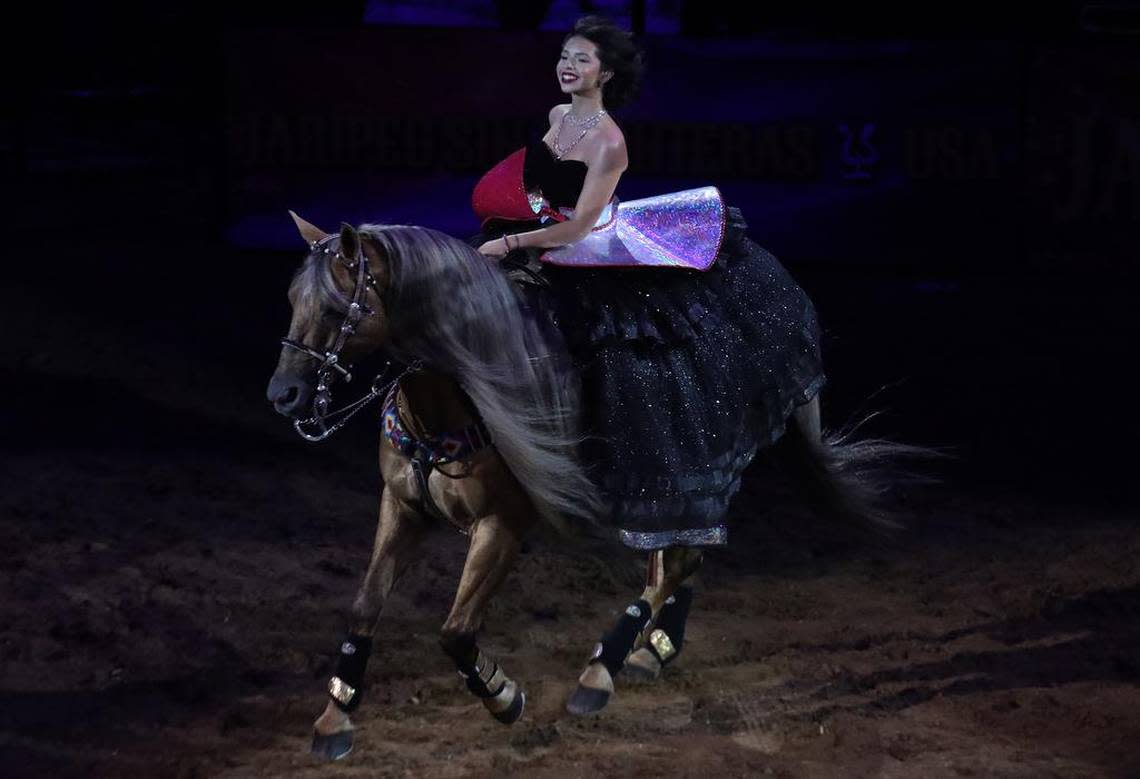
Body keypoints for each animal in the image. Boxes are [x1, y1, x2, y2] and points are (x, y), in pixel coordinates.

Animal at [266, 213, 907, 761]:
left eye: (336, 309)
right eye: (294, 302)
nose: (284, 396)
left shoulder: (503, 524)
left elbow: (455, 631)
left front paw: (504, 696)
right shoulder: (400, 506)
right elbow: (364, 606)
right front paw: (334, 720)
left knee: (681, 557)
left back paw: (603, 670)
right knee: (680, 554)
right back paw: (651, 649)